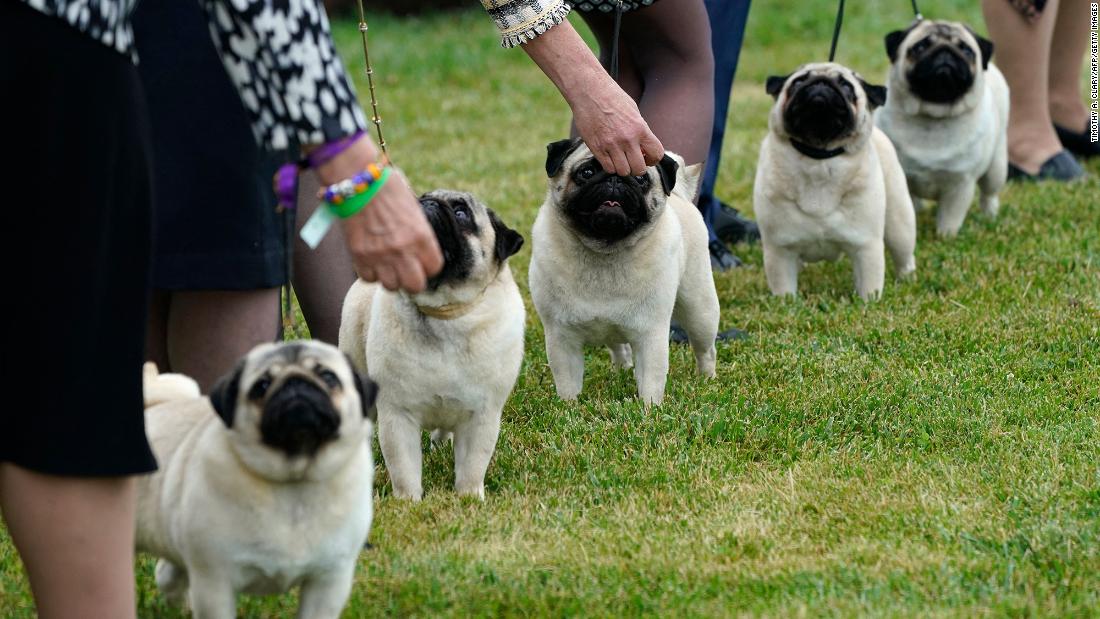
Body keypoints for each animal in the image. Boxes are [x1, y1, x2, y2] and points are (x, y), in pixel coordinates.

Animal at [134, 343, 378, 619]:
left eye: (328, 377)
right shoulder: (214, 582)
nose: (295, 382)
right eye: (261, 386)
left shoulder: (329, 581)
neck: (294, 482)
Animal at [338, 190, 523, 503]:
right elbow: (404, 469)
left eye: (461, 213)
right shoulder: (397, 417)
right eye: (419, 198)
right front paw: (408, 502)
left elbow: (473, 465)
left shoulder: (482, 417)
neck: (444, 312)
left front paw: (469, 498)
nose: (428, 203)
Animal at [525, 142, 717, 409]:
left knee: (705, 350)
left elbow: (651, 382)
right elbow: (567, 384)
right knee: (619, 347)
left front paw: (650, 411)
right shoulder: (561, 339)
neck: (605, 252)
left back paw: (706, 379)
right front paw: (568, 409)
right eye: (586, 172)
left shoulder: (650, 337)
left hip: (700, 311)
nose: (615, 178)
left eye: (640, 178)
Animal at [756, 62, 919, 301]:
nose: (821, 82)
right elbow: (784, 289)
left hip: (900, 223)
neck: (819, 157)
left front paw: (868, 303)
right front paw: (787, 305)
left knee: (904, 253)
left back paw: (907, 278)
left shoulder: (866, 247)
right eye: (798, 82)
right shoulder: (779, 250)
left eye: (846, 86)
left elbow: (869, 286)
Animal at [871, 18, 1007, 237]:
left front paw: (946, 237)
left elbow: (950, 218)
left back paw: (990, 215)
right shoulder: (903, 178)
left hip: (996, 168)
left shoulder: (961, 184)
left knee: (989, 193)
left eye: (966, 50)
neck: (933, 118)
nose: (945, 51)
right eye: (920, 47)